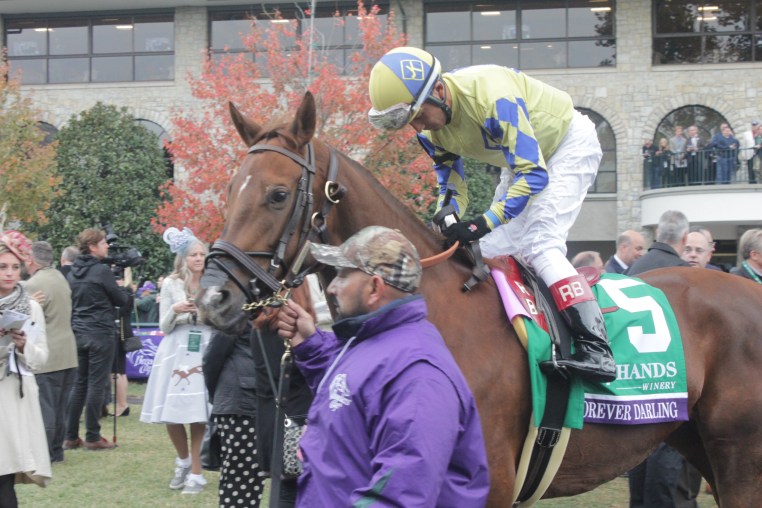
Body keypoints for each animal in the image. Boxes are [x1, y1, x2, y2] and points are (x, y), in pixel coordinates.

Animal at [197, 91, 762, 506]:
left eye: (277, 194)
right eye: (228, 190)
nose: (212, 298)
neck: (433, 311)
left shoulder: (490, 483)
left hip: (740, 457)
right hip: (698, 443)